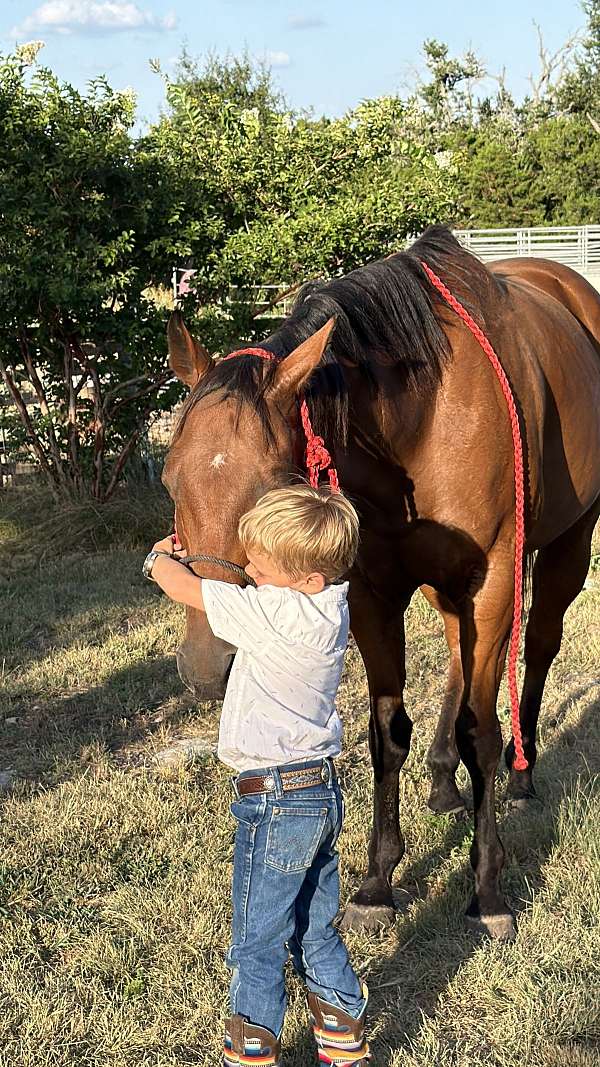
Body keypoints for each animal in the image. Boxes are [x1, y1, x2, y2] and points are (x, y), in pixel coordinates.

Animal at [162, 226, 600, 939]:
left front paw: (488, 890)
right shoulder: (373, 590)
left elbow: (481, 731)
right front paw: (376, 883)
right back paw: (443, 780)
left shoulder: (491, 584)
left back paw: (523, 775)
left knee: (537, 649)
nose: (206, 669)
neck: (425, 416)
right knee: (457, 658)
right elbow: (387, 732)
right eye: (171, 479)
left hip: (569, 542)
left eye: (275, 485)